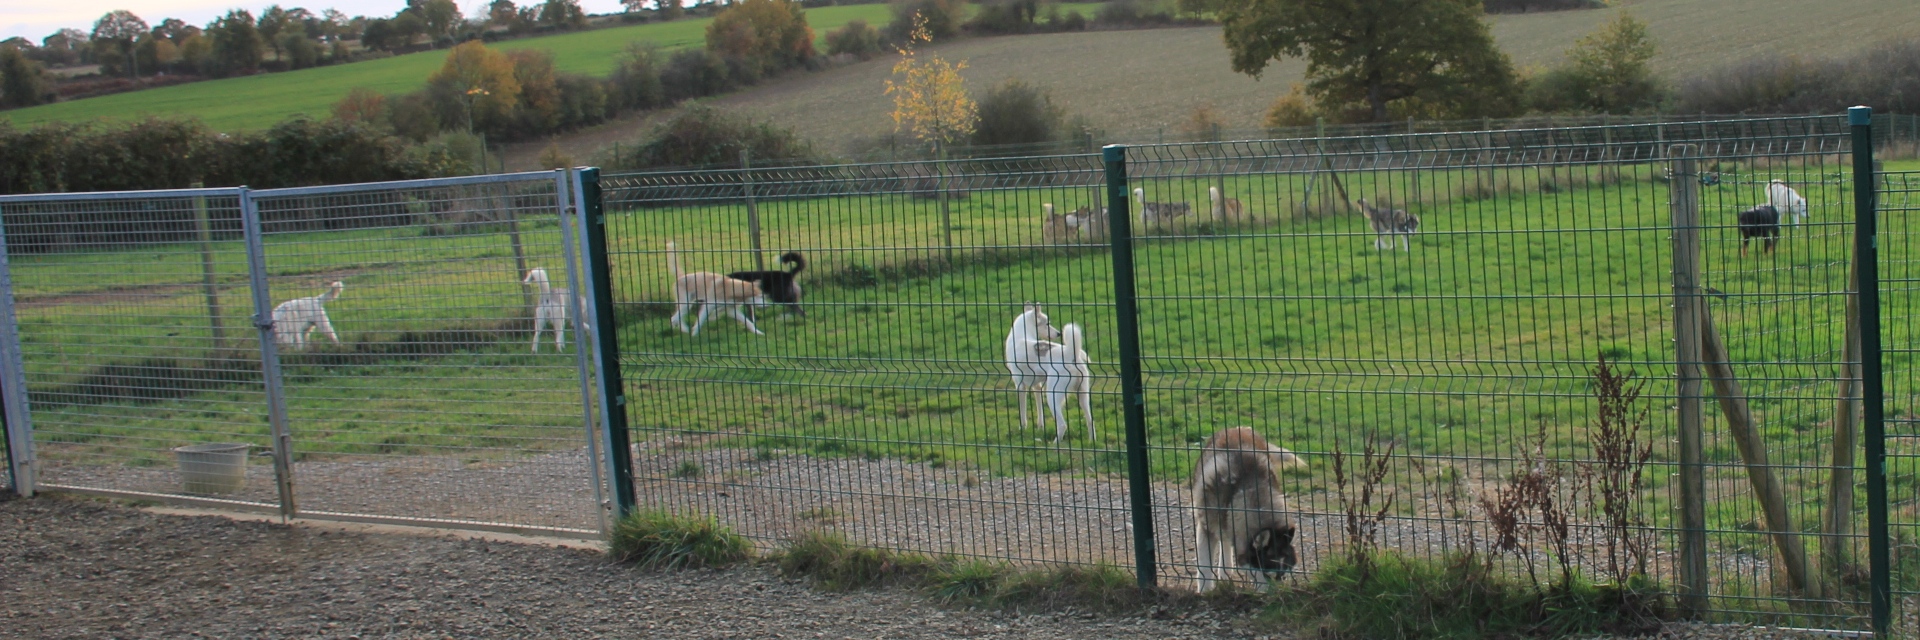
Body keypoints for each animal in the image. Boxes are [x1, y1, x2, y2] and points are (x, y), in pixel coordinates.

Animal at [1182, 426, 1305, 591]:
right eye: (1268, 575)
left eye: (1283, 576)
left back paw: (1225, 572)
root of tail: (1238, 428)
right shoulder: (1206, 527)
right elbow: (1204, 568)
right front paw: (1204, 591)